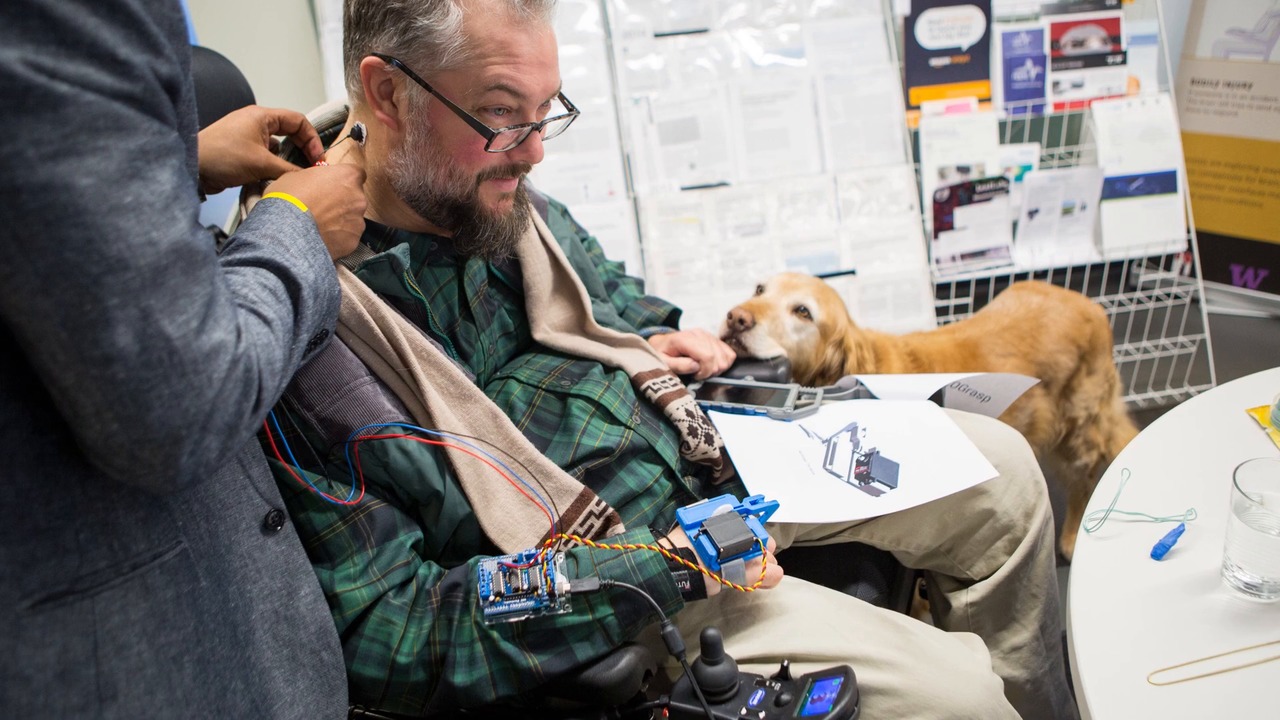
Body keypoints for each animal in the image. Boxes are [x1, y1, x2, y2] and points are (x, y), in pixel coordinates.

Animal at [721, 271, 1141, 558]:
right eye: (759, 290)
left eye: (803, 311)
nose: (735, 318)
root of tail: (1089, 302)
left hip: (1081, 427)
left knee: (1090, 473)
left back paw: (1072, 538)